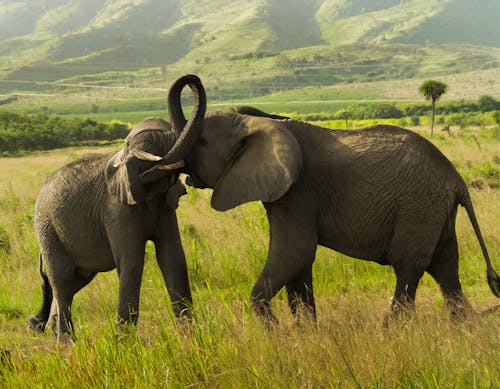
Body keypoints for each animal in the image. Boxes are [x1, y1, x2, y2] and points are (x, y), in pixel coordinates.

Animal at [28, 73, 205, 340]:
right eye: (130, 145)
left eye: (162, 145)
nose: (191, 79)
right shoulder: (115, 209)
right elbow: (131, 261)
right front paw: (124, 342)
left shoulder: (164, 206)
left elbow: (172, 257)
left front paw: (192, 338)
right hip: (47, 228)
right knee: (61, 280)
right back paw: (66, 343)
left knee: (73, 283)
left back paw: (54, 336)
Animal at [146, 74, 500, 322]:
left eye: (203, 142)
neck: (258, 123)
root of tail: (457, 180)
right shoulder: (287, 194)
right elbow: (298, 264)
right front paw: (305, 334)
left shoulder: (299, 192)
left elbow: (294, 252)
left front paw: (273, 332)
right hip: (435, 212)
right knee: (446, 270)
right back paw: (461, 328)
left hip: (419, 208)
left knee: (409, 268)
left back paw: (391, 332)